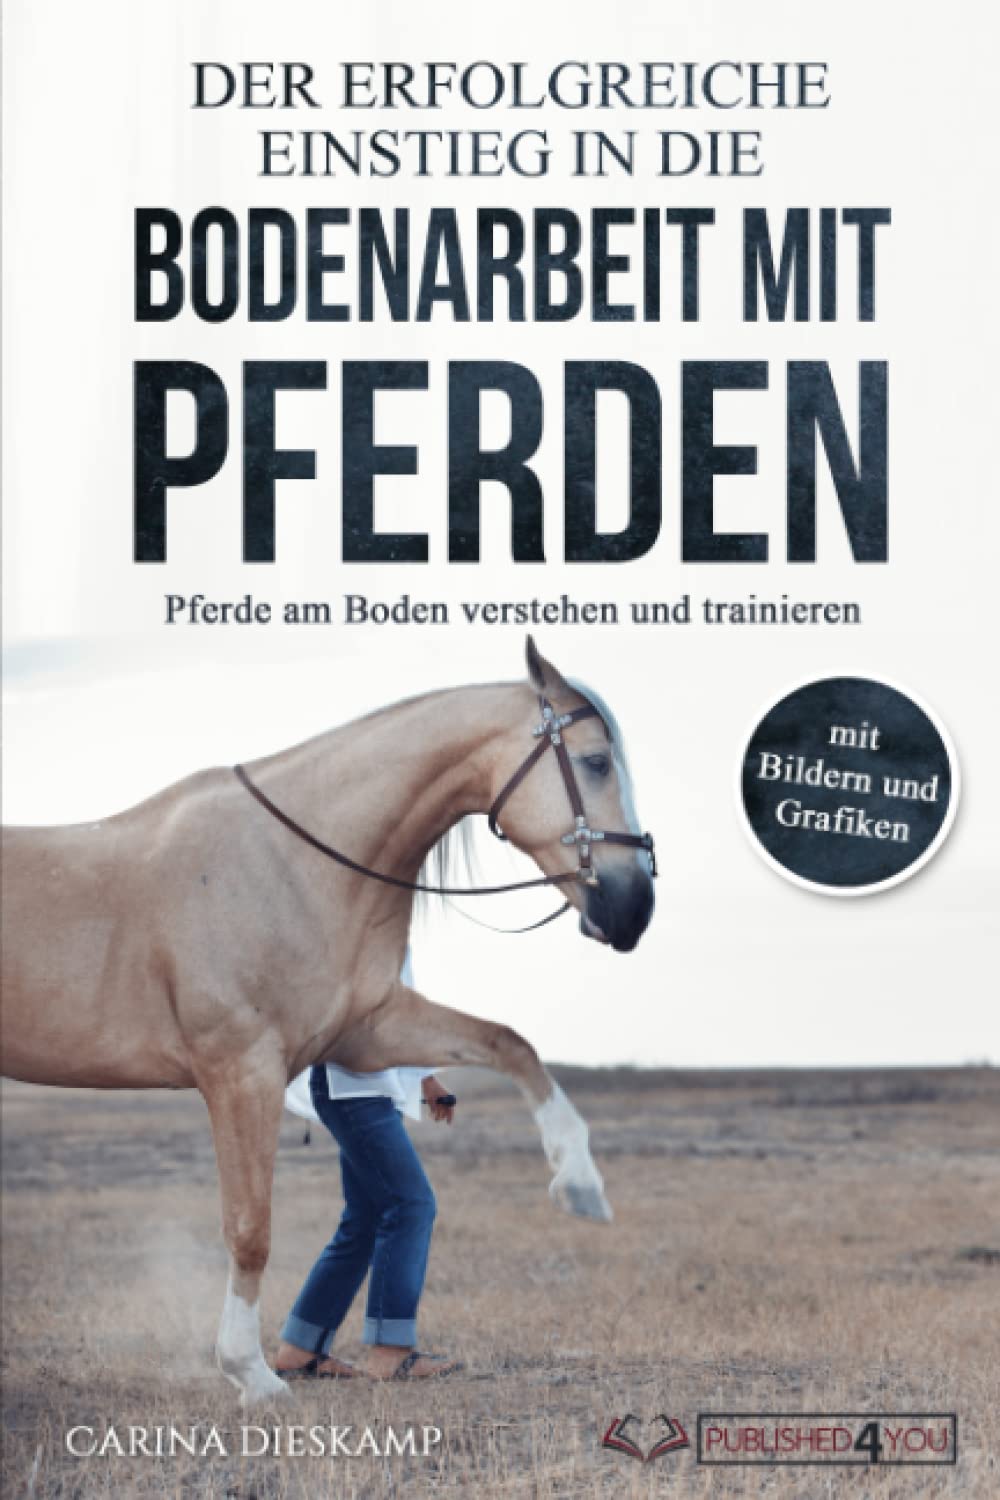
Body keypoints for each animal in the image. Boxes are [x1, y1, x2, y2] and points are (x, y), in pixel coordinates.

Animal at [0, 637, 656, 1405]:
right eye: (596, 761)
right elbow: (250, 1227)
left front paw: (580, 1183)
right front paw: (251, 1374)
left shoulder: (364, 1033)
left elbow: (510, 1043)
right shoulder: (242, 1072)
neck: (293, 863)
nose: (633, 907)